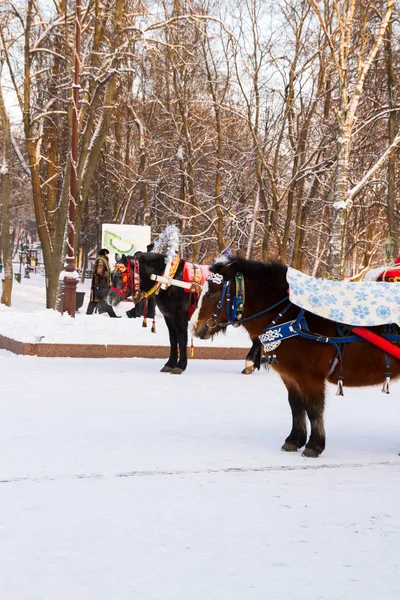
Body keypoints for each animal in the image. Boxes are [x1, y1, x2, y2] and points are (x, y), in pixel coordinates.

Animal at [107, 252, 262, 376]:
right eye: (112, 275)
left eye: (120, 276)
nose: (109, 298)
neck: (169, 280)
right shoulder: (169, 317)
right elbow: (173, 340)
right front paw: (169, 364)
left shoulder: (180, 317)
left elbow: (181, 339)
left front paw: (180, 366)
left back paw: (250, 364)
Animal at [193, 255, 400, 458]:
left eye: (211, 293)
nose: (195, 327)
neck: (292, 318)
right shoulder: (291, 376)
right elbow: (296, 406)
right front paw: (295, 440)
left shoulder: (310, 377)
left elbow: (314, 409)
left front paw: (315, 445)